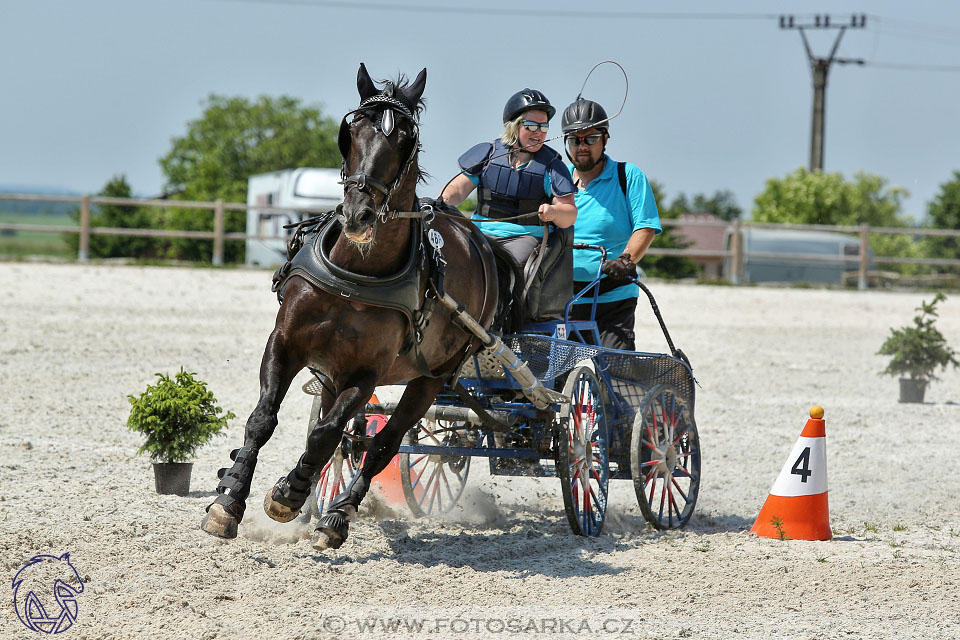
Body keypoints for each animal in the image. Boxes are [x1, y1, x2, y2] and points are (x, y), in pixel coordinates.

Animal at [200, 62, 498, 548]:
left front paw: (287, 495)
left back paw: (335, 515)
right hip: (335, 369)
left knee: (383, 444)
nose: (358, 214)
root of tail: (477, 238)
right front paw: (229, 499)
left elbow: (327, 433)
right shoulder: (285, 343)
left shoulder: (367, 372)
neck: (356, 274)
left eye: (406, 138)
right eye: (352, 129)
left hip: (431, 378)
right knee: (344, 434)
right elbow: (264, 419)